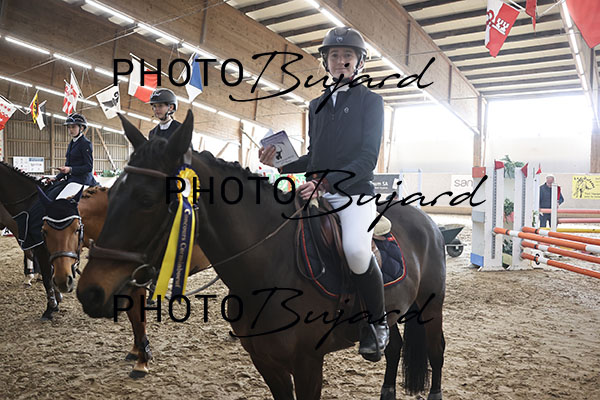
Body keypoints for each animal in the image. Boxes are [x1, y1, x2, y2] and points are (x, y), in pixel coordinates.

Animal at [77, 110, 447, 400]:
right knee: (395, 347)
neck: (271, 266)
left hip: (430, 306)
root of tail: (426, 220)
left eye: (145, 199)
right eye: (113, 193)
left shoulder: (308, 363)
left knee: (436, 351)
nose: (89, 292)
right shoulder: (265, 361)